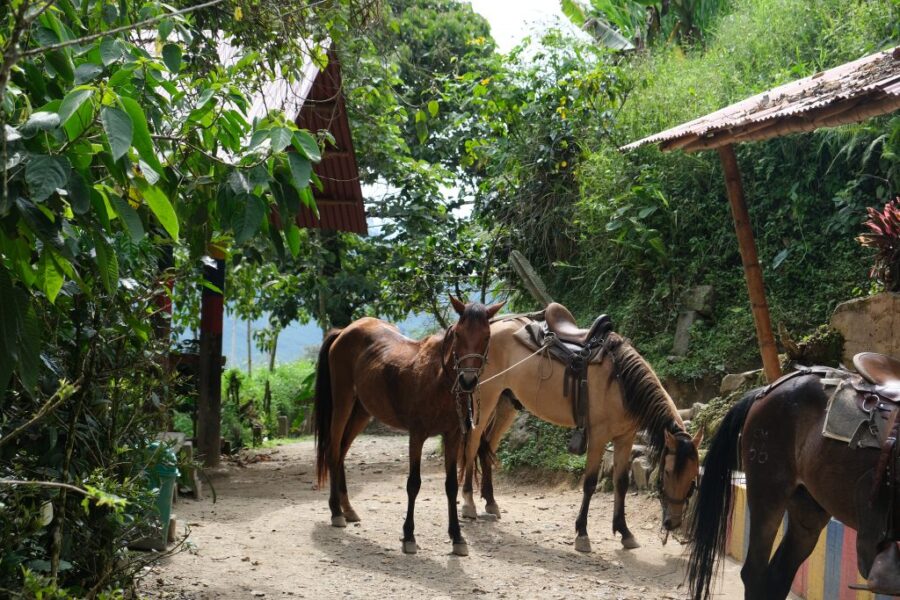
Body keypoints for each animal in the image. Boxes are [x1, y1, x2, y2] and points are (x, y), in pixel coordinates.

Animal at [312, 298, 502, 556]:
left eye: (487, 336)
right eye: (459, 334)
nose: (467, 380)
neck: (438, 379)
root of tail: (344, 331)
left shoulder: (452, 436)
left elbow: (451, 486)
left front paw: (457, 537)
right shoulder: (417, 435)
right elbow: (414, 484)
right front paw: (409, 535)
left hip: (362, 411)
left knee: (341, 452)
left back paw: (347, 509)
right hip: (343, 403)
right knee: (333, 452)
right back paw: (336, 512)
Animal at [460, 318, 700, 552]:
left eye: (692, 477)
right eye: (667, 472)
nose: (673, 523)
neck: (622, 383)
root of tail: (493, 326)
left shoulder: (625, 438)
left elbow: (621, 483)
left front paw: (625, 532)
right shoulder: (599, 437)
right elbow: (590, 483)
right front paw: (582, 534)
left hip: (506, 404)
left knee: (487, 446)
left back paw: (491, 503)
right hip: (485, 399)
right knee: (472, 444)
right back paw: (469, 503)